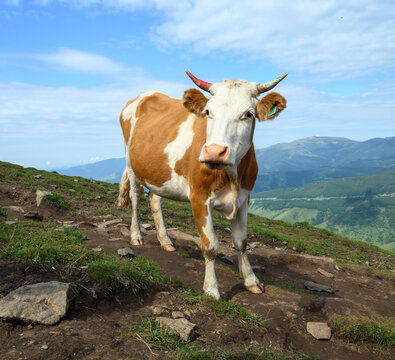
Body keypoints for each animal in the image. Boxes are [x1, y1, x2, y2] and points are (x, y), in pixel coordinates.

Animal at [117, 69, 288, 298]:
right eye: (208, 112)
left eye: (248, 114)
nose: (214, 152)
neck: (231, 176)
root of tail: (144, 94)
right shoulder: (199, 197)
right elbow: (210, 245)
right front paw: (211, 289)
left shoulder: (245, 197)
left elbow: (241, 241)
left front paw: (251, 280)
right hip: (131, 163)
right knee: (135, 198)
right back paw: (136, 236)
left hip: (160, 173)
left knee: (155, 201)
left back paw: (165, 241)